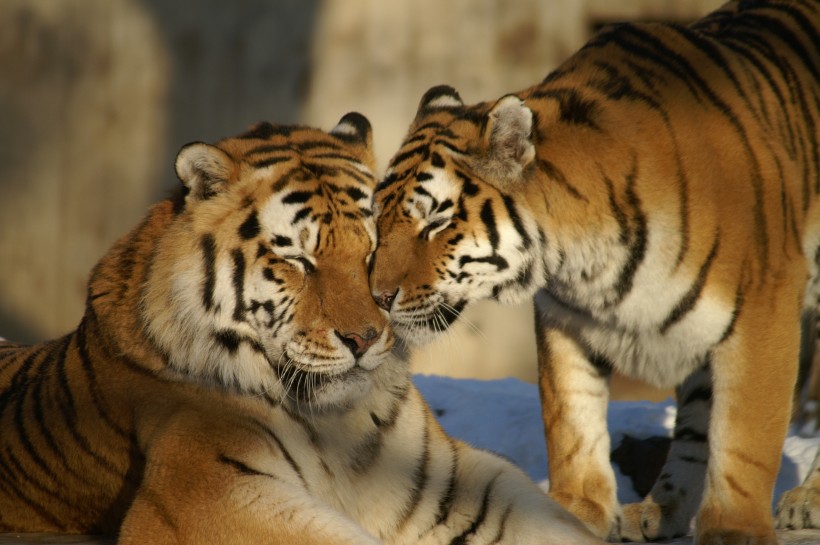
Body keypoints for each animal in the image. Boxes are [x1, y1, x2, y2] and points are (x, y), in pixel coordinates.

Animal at [0, 115, 604, 544]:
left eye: (374, 247)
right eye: (297, 258)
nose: (364, 339)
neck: (340, 422)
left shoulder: (447, 483)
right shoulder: (205, 494)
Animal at [370, 1, 820, 544]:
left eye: (435, 221)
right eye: (379, 217)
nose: (377, 295)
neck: (581, 259)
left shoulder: (763, 307)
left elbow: (745, 435)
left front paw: (735, 531)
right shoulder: (565, 318)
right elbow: (571, 417)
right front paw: (574, 510)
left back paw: (807, 502)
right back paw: (658, 510)